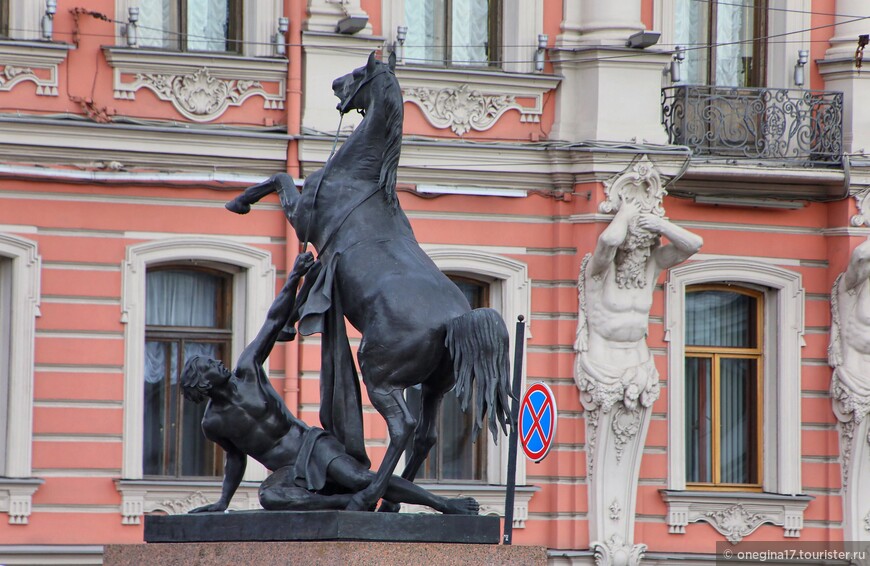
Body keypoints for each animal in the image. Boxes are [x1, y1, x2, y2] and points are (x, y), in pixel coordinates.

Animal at [225, 52, 516, 516]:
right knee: (425, 436)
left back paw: (365, 499)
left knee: (403, 427)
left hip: (378, 374)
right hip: (435, 385)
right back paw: (393, 505)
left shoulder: (303, 218)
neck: (362, 178)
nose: (335, 83)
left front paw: (239, 200)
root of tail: (456, 320)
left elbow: (279, 179)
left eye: (359, 73)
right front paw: (288, 325)